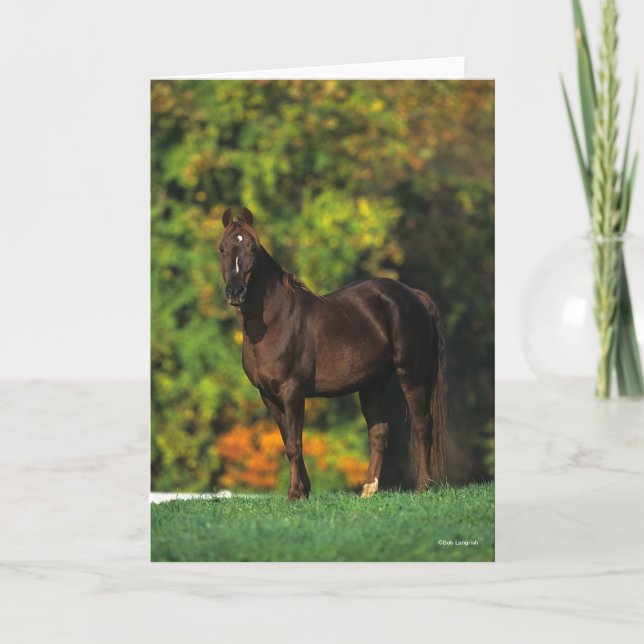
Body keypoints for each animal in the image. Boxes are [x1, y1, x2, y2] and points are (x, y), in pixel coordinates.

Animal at [218, 207, 447, 500]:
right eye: (223, 248)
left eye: (253, 248)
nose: (235, 291)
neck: (275, 321)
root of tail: (414, 294)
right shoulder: (267, 395)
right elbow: (288, 440)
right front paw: (303, 491)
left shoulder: (292, 391)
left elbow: (294, 443)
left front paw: (294, 494)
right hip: (372, 383)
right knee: (379, 431)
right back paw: (368, 490)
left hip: (411, 375)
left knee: (421, 425)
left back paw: (422, 488)